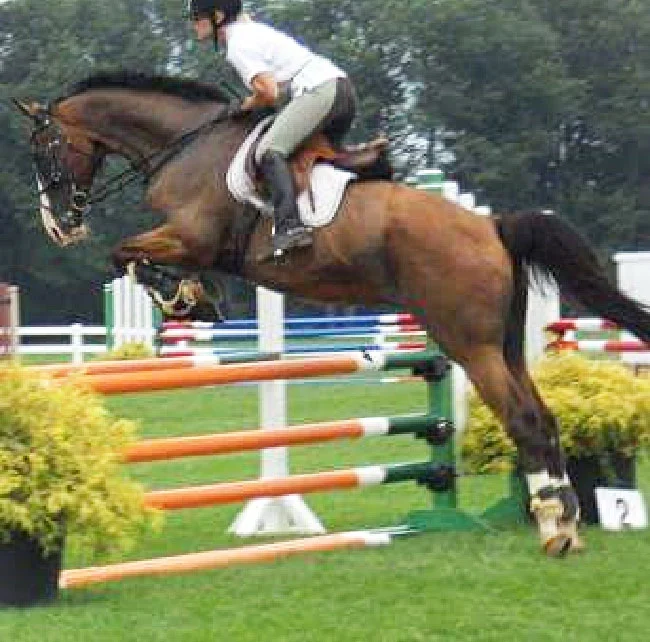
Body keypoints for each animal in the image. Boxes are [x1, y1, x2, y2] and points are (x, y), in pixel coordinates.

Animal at [12, 70, 648, 556]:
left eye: (43, 151)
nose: (58, 226)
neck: (186, 144)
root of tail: (491, 226)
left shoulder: (189, 238)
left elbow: (126, 254)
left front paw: (184, 297)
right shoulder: (191, 244)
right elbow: (134, 258)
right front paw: (195, 297)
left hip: (469, 343)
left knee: (525, 420)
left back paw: (555, 530)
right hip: (503, 343)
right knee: (544, 415)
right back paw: (564, 519)